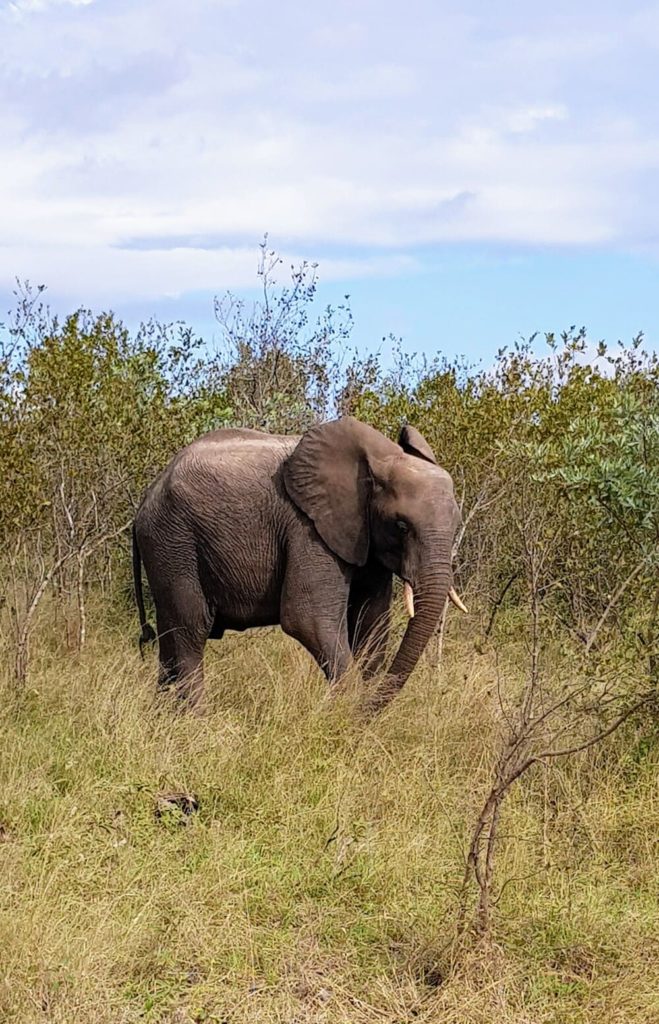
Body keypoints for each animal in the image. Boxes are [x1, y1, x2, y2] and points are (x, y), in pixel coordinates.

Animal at [130, 415, 466, 712]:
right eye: (401, 526)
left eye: (456, 525)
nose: (366, 713)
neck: (379, 459)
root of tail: (146, 499)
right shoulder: (307, 529)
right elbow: (306, 618)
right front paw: (344, 717)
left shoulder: (365, 540)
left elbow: (371, 626)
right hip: (174, 542)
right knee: (191, 630)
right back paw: (198, 721)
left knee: (170, 642)